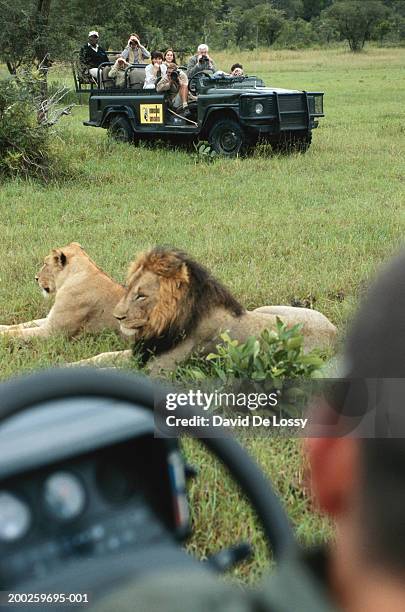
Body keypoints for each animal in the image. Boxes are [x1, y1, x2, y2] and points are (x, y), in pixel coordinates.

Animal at [73, 247, 338, 372]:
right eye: (127, 288)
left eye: (141, 295)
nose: (117, 317)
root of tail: (334, 331)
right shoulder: (144, 352)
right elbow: (101, 357)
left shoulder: (160, 370)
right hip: (263, 309)